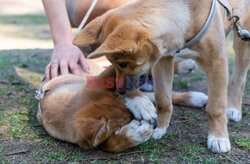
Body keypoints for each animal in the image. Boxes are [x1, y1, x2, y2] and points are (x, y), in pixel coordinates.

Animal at [73, 0, 249, 152]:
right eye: (115, 63)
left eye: (122, 63)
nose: (121, 91)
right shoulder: (163, 61)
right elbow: (163, 100)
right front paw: (160, 128)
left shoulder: (216, 62)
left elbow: (215, 107)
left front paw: (218, 138)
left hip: (243, 38)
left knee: (238, 78)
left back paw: (233, 108)